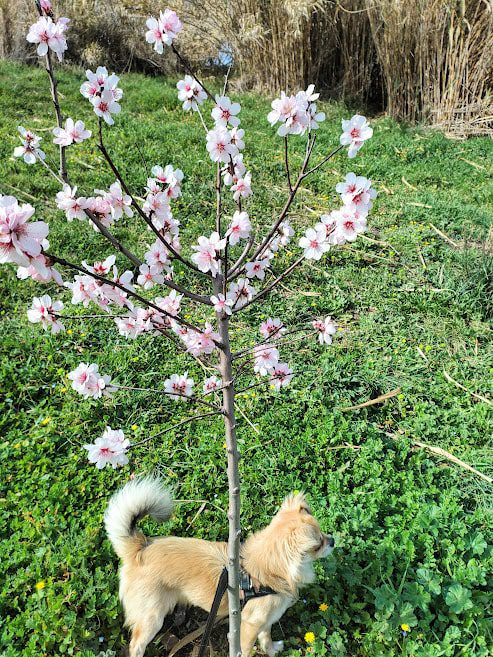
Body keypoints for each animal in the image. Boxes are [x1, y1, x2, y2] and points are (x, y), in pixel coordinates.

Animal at [104, 476, 334, 656]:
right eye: (317, 545)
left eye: (323, 534)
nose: (332, 541)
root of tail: (139, 548)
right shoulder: (249, 626)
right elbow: (246, 649)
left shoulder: (266, 621)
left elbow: (266, 638)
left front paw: (271, 650)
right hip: (152, 618)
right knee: (136, 645)